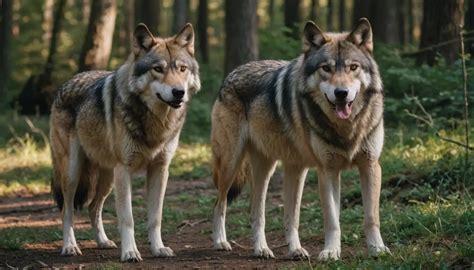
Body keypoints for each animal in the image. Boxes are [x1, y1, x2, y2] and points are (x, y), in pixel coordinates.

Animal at [49, 23, 200, 262]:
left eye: (182, 69)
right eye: (158, 69)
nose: (179, 92)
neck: (156, 121)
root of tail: (67, 82)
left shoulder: (160, 170)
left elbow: (155, 217)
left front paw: (158, 248)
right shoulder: (124, 170)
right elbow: (127, 218)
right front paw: (130, 252)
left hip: (108, 178)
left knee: (93, 207)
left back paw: (103, 242)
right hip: (74, 173)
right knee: (67, 210)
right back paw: (70, 246)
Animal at [210, 18, 388, 260]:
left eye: (353, 67)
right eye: (326, 68)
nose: (341, 93)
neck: (346, 128)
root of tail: (232, 74)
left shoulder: (370, 165)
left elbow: (371, 217)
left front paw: (378, 249)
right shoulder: (327, 170)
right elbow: (332, 220)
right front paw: (330, 252)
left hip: (287, 169)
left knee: (274, 214)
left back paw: (284, 249)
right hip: (232, 165)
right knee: (221, 204)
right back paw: (224, 242)